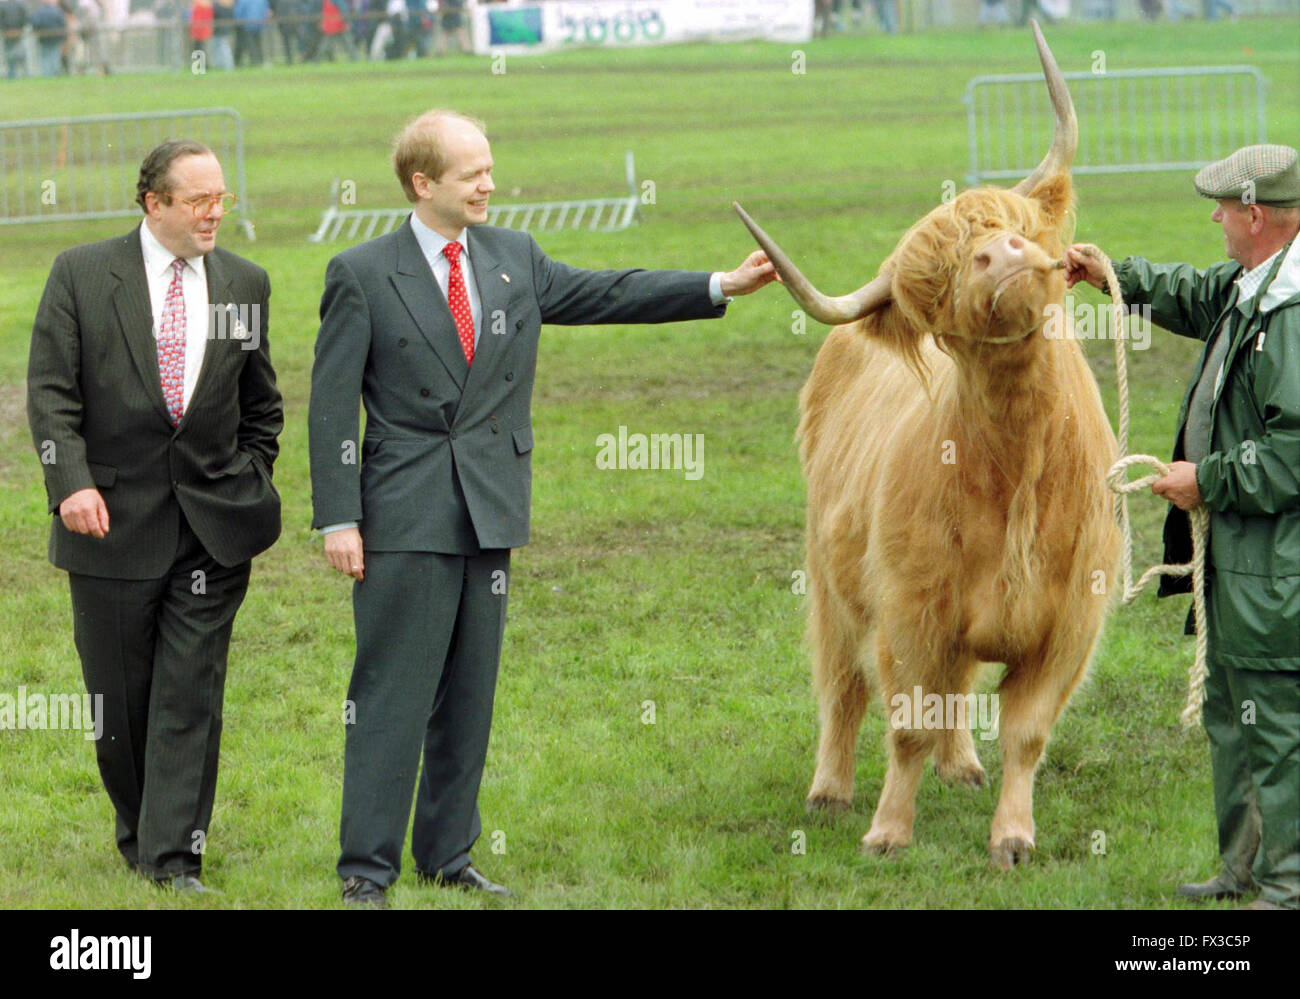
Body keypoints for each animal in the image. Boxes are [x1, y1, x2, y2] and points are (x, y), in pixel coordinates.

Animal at [738, 21, 1123, 863]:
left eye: (1015, 226)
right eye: (937, 280)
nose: (1001, 256)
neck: (1018, 470)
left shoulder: (1070, 623)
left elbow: (1025, 731)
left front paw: (1012, 834)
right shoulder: (911, 610)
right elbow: (907, 721)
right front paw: (888, 830)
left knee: (958, 685)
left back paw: (963, 767)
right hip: (832, 580)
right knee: (843, 686)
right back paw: (830, 789)